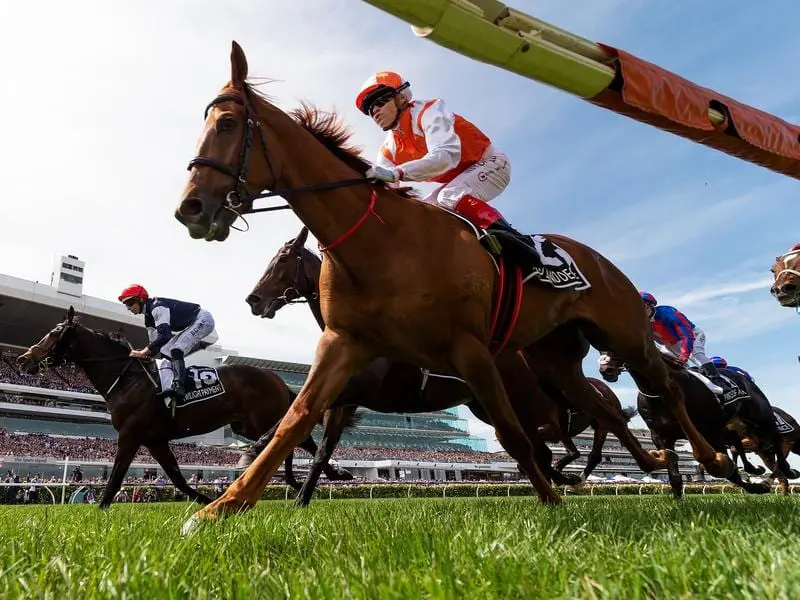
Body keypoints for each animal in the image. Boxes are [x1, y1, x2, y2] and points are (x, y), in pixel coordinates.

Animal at [16, 308, 350, 508]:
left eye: (53, 333)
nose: (23, 359)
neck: (127, 379)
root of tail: (277, 378)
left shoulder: (130, 435)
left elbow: (116, 477)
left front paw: (100, 509)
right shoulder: (155, 439)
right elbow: (177, 477)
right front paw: (204, 499)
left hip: (262, 418)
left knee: (297, 439)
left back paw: (326, 475)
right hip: (248, 425)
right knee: (292, 441)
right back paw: (319, 478)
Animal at [173, 41, 732, 528]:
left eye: (227, 124)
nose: (190, 209)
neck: (380, 244)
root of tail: (597, 259)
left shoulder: (470, 348)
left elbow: (515, 436)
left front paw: (551, 501)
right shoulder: (345, 346)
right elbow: (294, 421)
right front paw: (221, 507)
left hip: (622, 333)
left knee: (659, 390)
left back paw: (711, 459)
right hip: (556, 357)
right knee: (599, 411)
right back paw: (652, 460)